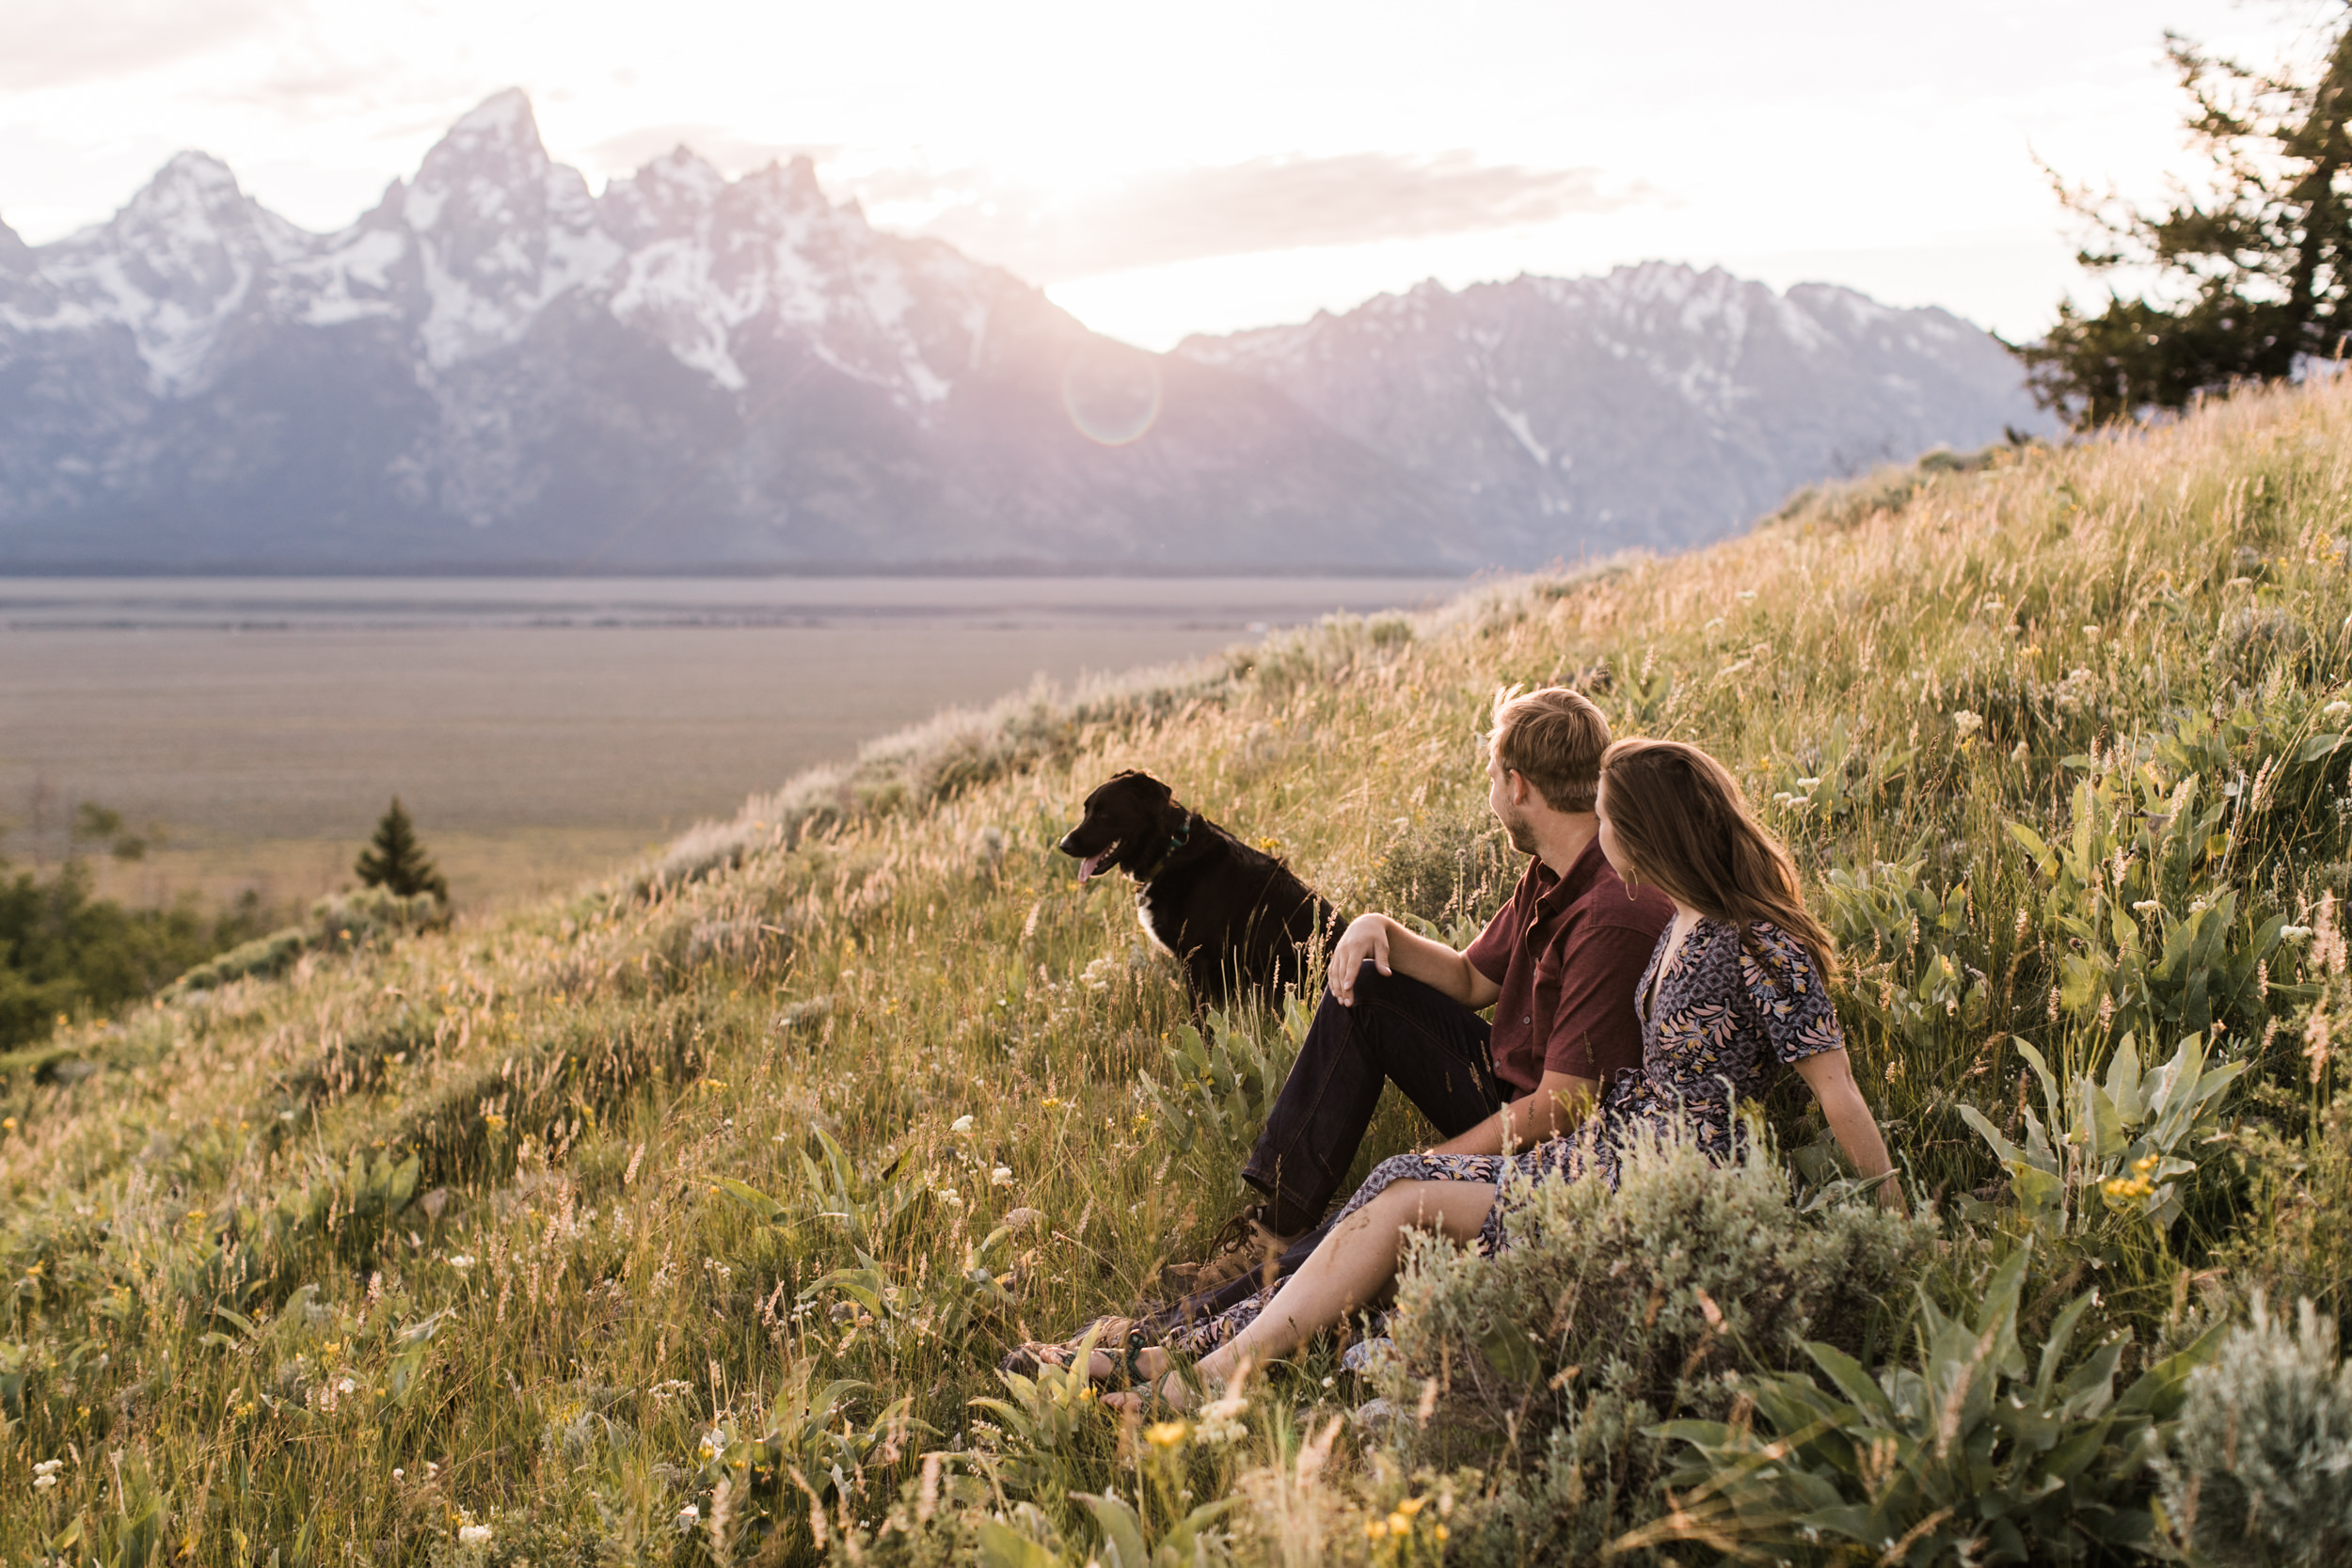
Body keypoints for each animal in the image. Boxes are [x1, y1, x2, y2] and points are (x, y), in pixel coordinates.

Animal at [1063, 770, 1345, 1010]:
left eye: (1103, 814)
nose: (1063, 845)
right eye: (1086, 811)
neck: (1170, 851)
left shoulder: (1196, 959)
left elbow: (1200, 1018)